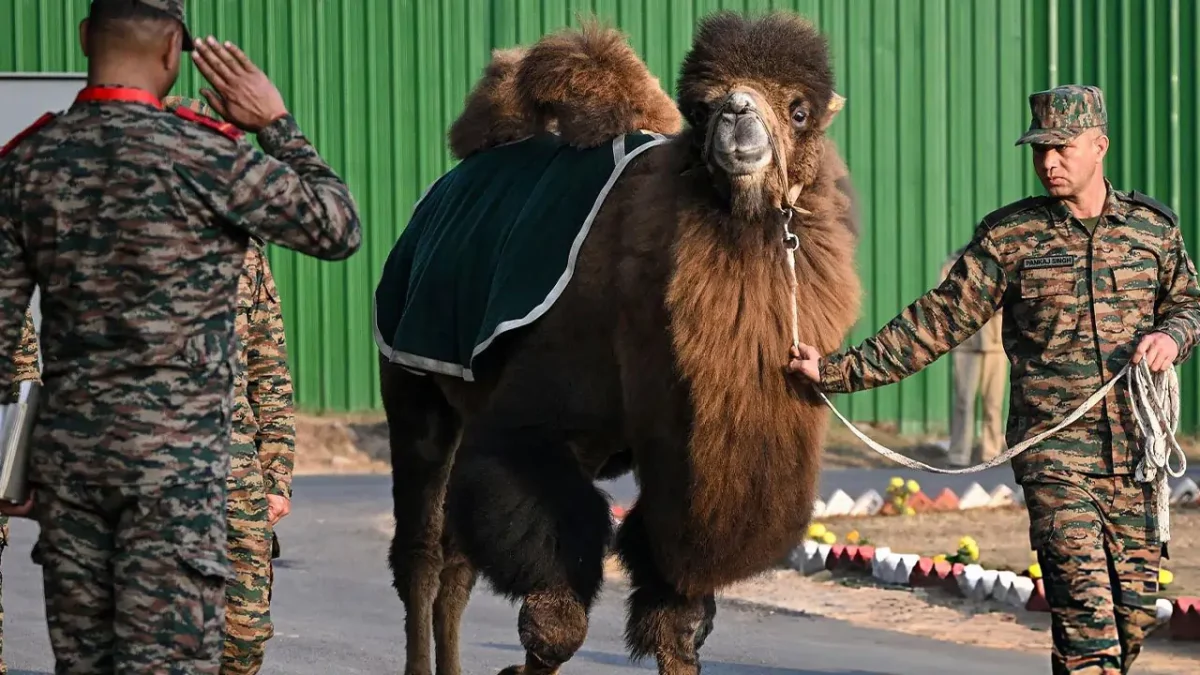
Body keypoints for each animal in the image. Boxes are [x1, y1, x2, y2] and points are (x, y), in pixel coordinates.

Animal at [374, 11, 862, 675]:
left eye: (800, 110)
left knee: (456, 563)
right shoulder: (532, 429)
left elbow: (679, 622)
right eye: (700, 109)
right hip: (412, 384)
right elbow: (557, 617)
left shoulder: (678, 460)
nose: (737, 113)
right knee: (422, 553)